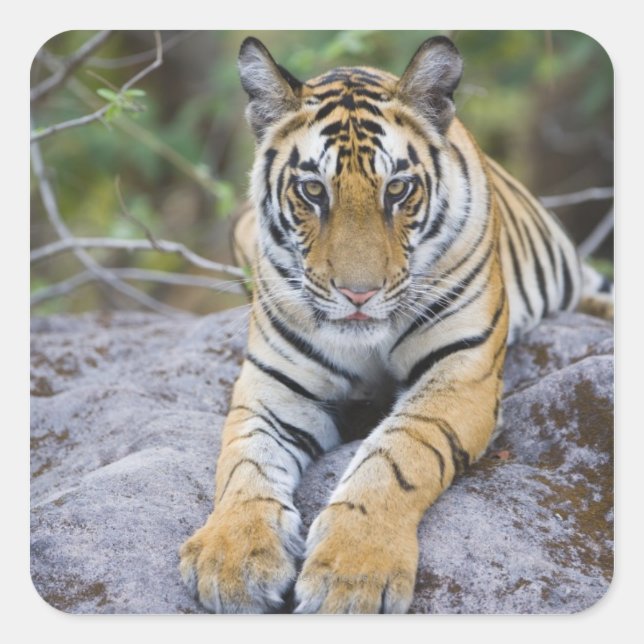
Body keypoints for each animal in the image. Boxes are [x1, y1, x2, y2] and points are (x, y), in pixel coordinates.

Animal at [179, 35, 613, 614]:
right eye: (313, 191)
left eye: (398, 190)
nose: (358, 293)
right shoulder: (273, 385)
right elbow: (244, 462)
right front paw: (231, 556)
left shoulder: (461, 374)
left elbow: (398, 456)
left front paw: (353, 573)